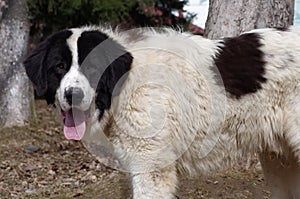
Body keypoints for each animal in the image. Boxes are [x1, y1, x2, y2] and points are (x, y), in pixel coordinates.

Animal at [24, 25, 300, 198]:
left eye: (93, 68)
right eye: (59, 66)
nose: (74, 95)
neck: (126, 83)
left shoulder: (152, 169)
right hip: (279, 158)